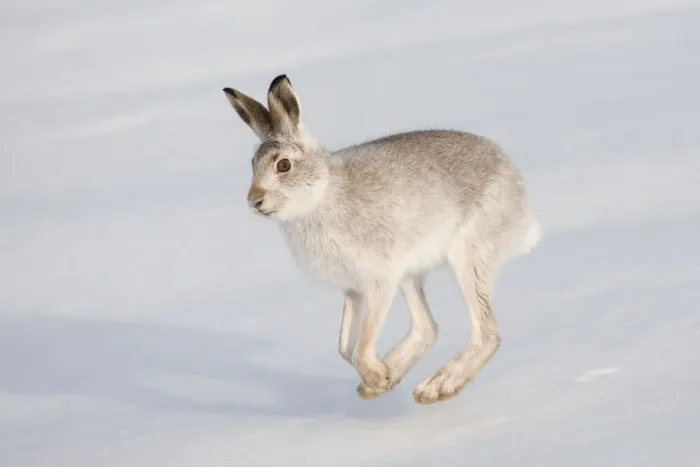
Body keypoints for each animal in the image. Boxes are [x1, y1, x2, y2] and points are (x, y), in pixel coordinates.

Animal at [222, 74, 541, 404]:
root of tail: (517, 188)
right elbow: (345, 347)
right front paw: (381, 379)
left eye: (283, 165)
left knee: (485, 332)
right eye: (252, 165)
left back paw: (437, 387)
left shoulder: (380, 280)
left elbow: (359, 349)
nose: (254, 201)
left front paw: (377, 375)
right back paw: (390, 377)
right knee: (427, 327)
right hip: (412, 274)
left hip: (467, 256)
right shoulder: (353, 290)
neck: (320, 195)